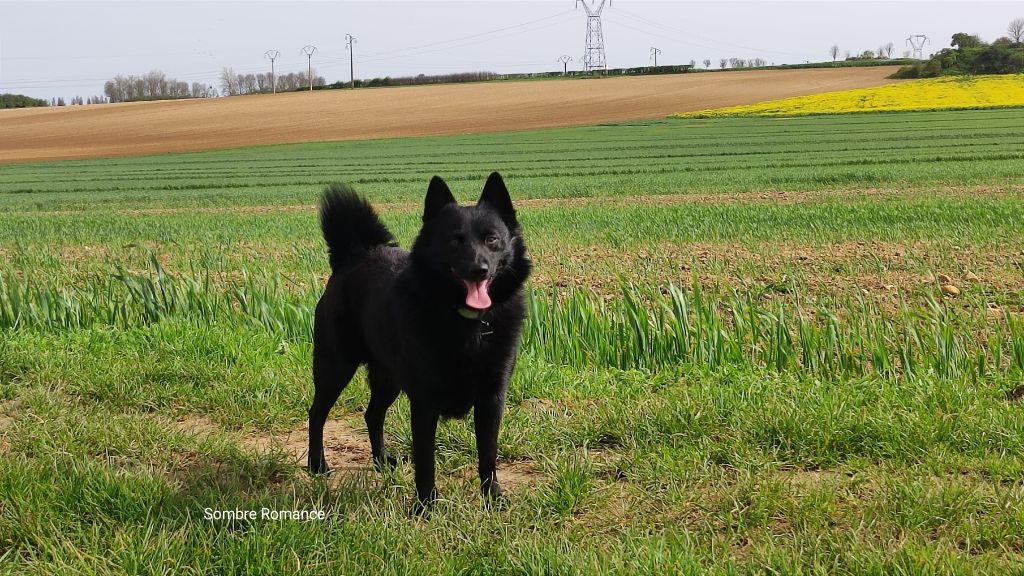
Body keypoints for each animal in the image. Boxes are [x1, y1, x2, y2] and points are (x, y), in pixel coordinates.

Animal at [305, 169, 532, 506]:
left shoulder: (492, 397)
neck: (466, 325)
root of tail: (355, 254)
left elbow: (487, 454)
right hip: (335, 366)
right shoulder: (424, 400)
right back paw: (316, 465)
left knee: (373, 414)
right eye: (454, 241)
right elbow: (426, 460)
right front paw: (425, 506)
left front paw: (492, 499)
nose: (478, 269)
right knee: (317, 413)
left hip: (388, 377)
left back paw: (381, 461)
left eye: (492, 239)